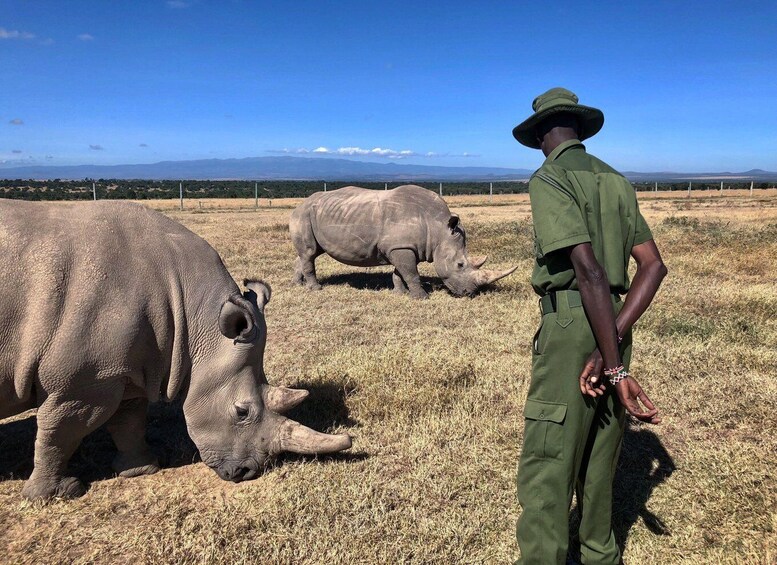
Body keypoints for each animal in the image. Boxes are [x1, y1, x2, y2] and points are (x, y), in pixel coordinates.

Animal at [0, 200, 351, 499]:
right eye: (242, 412)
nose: (245, 473)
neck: (194, 315)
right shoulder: (81, 383)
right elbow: (61, 431)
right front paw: (56, 495)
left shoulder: (123, 368)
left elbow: (129, 420)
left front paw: (142, 469)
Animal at [290, 185, 516, 299]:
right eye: (460, 265)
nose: (469, 294)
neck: (437, 228)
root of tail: (299, 204)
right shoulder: (401, 247)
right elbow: (411, 273)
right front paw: (422, 297)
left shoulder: (401, 247)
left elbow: (400, 272)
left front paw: (400, 293)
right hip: (303, 215)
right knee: (309, 253)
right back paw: (316, 289)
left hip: (315, 215)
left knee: (309, 253)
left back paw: (298, 285)